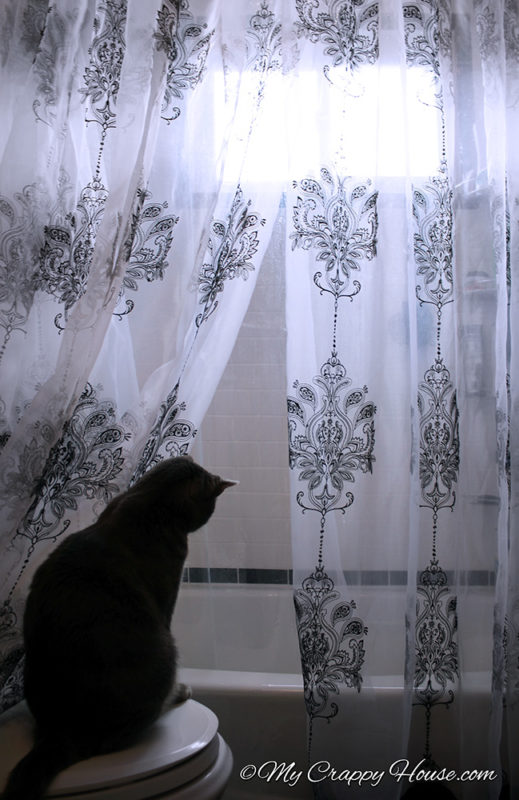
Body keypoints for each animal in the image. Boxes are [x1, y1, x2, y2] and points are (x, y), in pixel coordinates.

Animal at [1, 456, 237, 800]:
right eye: (210, 503)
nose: (209, 515)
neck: (148, 503)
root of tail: (62, 733)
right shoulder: (166, 598)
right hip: (164, 649)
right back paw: (176, 693)